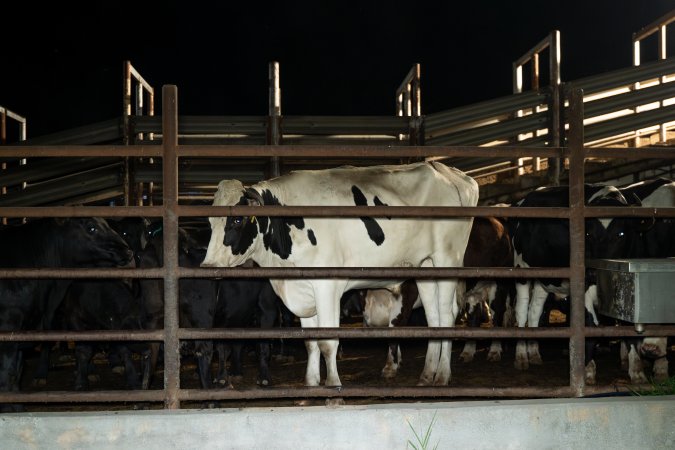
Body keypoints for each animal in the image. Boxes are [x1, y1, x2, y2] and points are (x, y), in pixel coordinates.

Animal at [0, 218, 135, 412]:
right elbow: (7, 371)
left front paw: (18, 408)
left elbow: (16, 371)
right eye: (91, 228)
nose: (128, 251)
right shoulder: (9, 324)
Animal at [202, 162, 480, 386]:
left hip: (447, 259)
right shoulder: (304, 288)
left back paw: (442, 375)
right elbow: (311, 342)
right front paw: (312, 384)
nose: (207, 265)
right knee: (434, 319)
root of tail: (448, 172)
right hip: (426, 266)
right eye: (210, 221)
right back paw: (427, 374)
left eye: (237, 220)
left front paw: (333, 387)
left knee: (447, 316)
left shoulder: (328, 286)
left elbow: (327, 342)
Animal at [510, 183, 632, 384]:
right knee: (521, 310)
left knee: (535, 309)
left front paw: (633, 366)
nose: (595, 271)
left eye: (621, 234)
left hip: (545, 276)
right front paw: (588, 369)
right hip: (521, 269)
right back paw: (521, 355)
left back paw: (534, 352)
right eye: (588, 233)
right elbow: (590, 323)